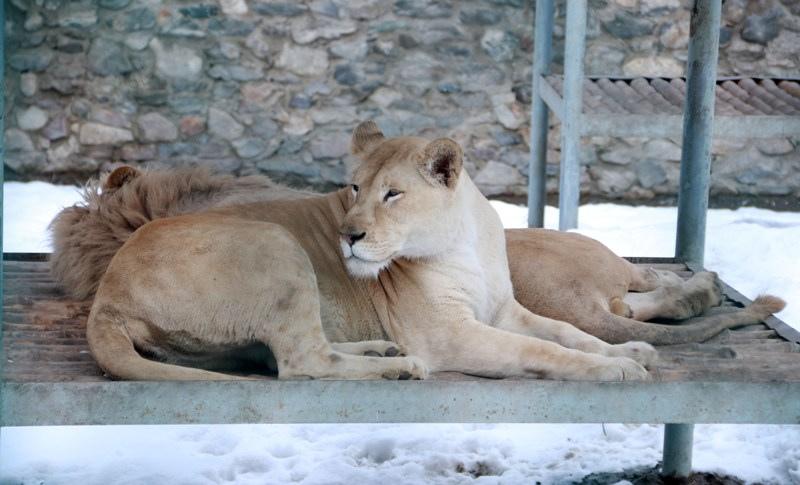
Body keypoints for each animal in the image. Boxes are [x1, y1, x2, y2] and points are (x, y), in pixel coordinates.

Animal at [48, 121, 780, 378]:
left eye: (392, 194)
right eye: (352, 186)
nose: (349, 234)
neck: (461, 243)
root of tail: (107, 294)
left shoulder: (507, 310)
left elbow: (573, 333)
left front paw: (627, 354)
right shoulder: (455, 335)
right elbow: (548, 352)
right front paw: (616, 370)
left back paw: (380, 353)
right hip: (276, 246)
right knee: (301, 366)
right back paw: (398, 367)